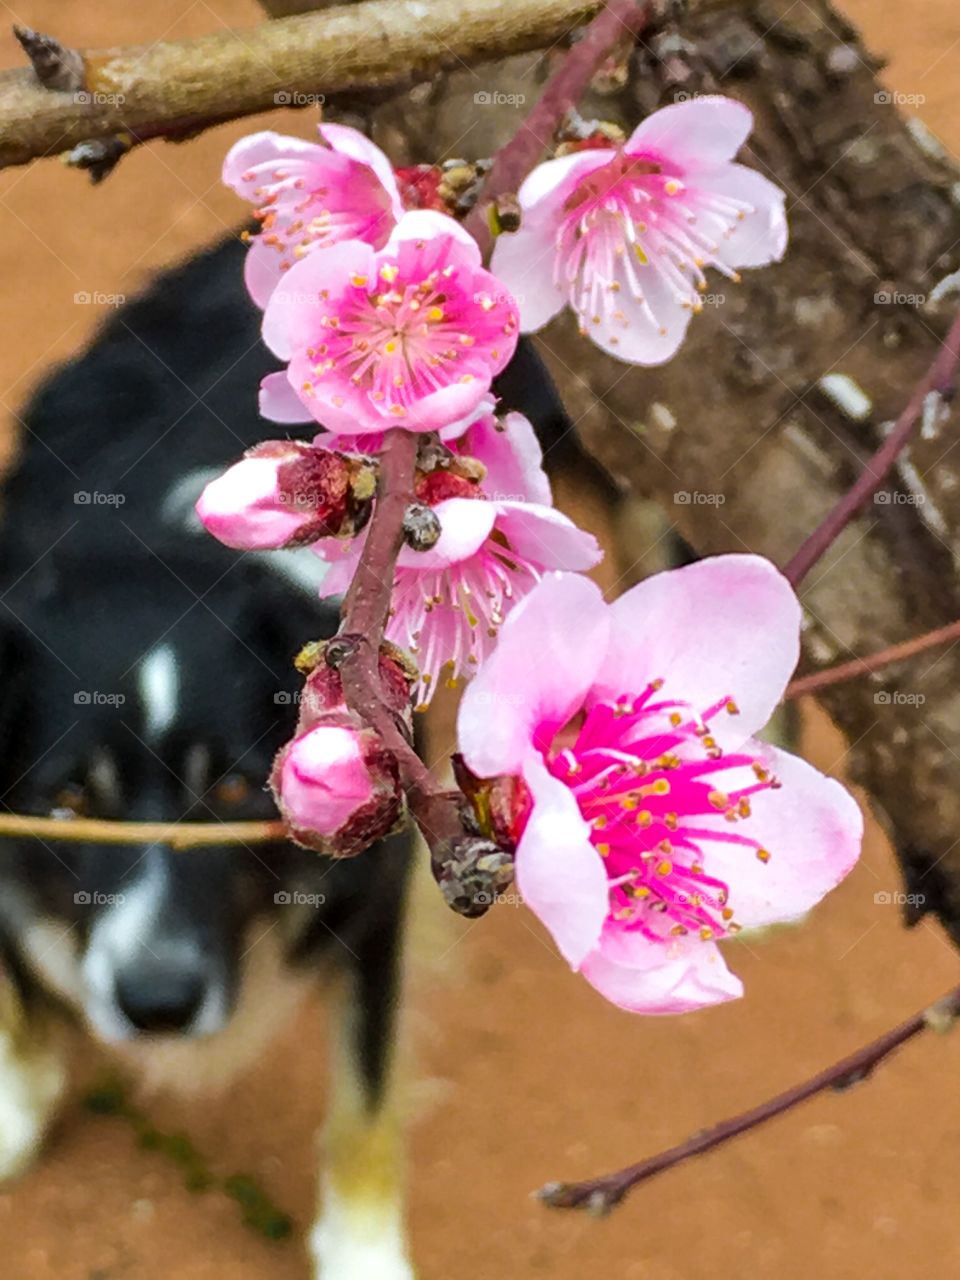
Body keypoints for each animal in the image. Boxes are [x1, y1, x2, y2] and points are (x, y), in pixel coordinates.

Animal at [0, 235, 417, 1274]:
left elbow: (367, 1088)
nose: (158, 1007)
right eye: (71, 803)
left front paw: (363, 1251)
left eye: (234, 789)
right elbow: (17, 986)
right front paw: (14, 1111)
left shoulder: (382, 882)